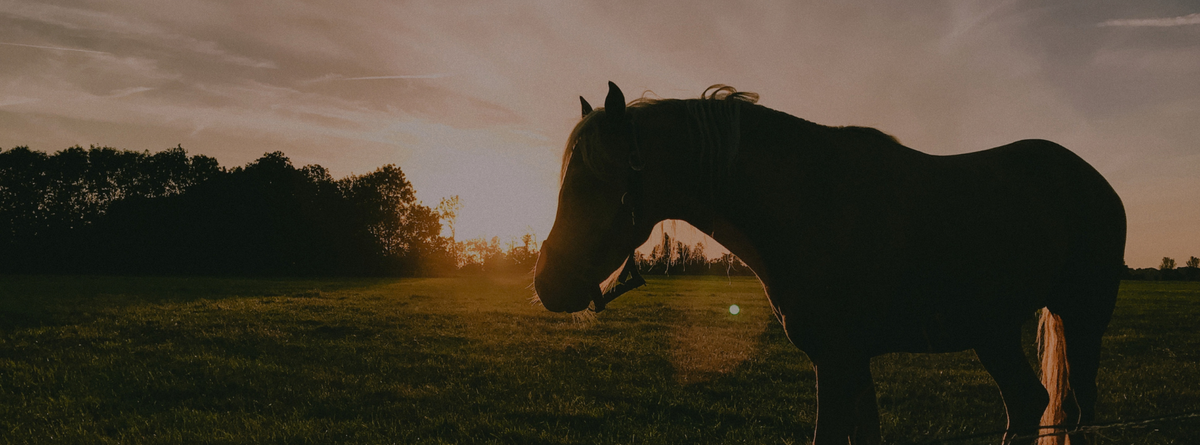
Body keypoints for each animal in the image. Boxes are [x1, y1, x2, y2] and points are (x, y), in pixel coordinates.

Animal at [533, 82, 1126, 445]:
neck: (809, 202)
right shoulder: (846, 360)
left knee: (1075, 408)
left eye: (591, 181)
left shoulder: (839, 358)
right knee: (1029, 405)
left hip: (1081, 319)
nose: (545, 284)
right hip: (993, 331)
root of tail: (1093, 180)